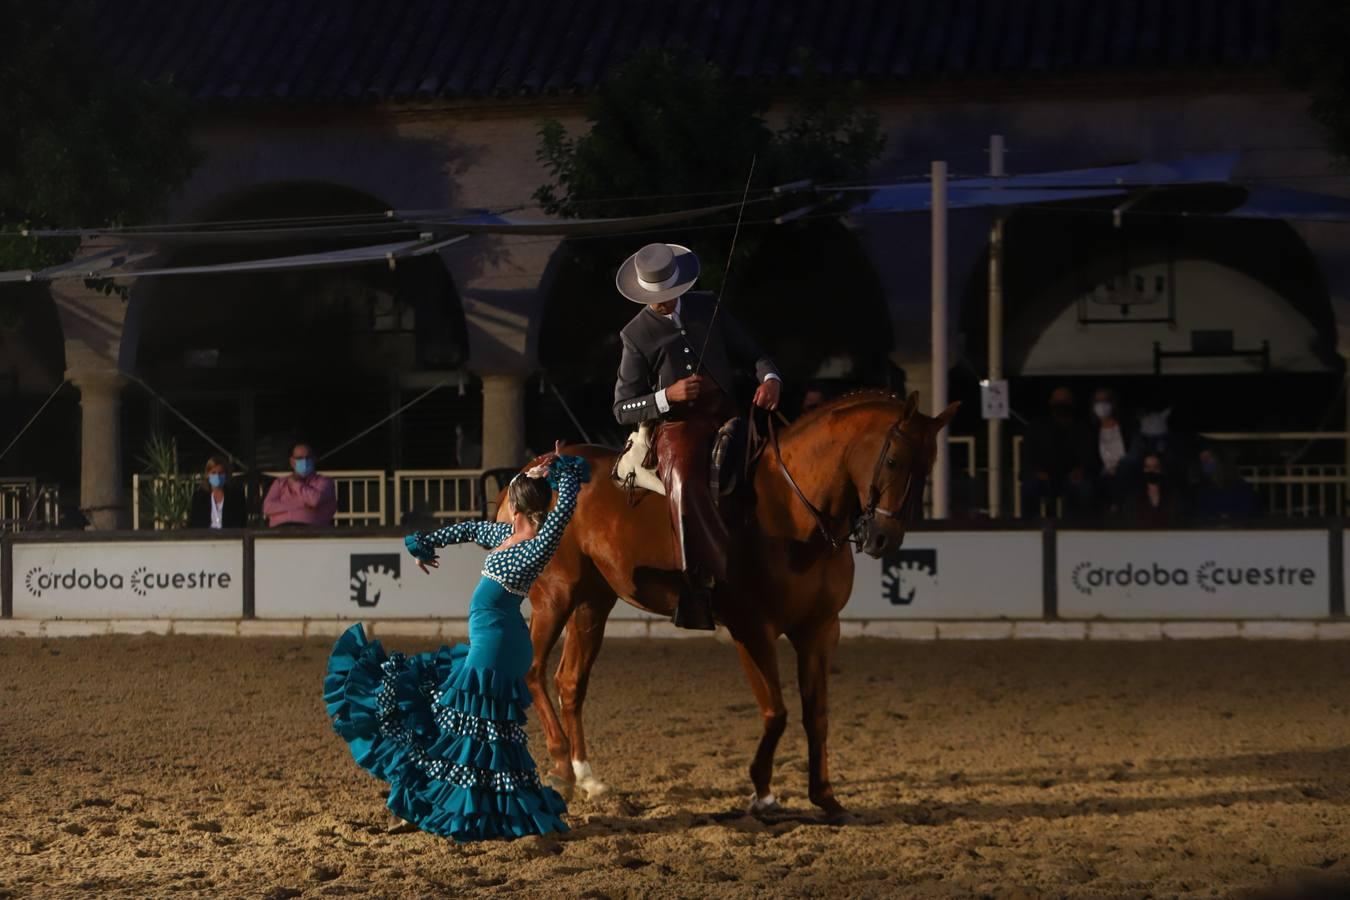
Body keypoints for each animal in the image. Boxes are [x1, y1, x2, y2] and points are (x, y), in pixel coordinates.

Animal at [507, 391, 961, 820]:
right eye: (894, 459)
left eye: (928, 465)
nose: (884, 538)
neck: (790, 510)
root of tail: (537, 467)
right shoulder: (751, 629)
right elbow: (776, 711)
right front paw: (762, 793)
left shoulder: (819, 629)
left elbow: (816, 715)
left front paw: (826, 798)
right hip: (554, 595)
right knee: (532, 672)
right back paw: (561, 768)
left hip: (592, 602)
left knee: (570, 682)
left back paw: (586, 776)